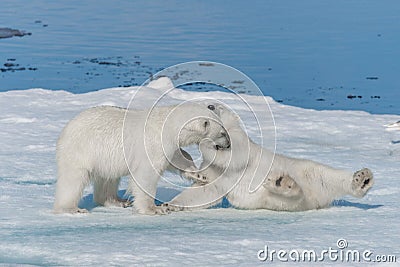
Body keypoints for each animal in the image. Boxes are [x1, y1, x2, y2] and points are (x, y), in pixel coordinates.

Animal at [52, 103, 231, 216]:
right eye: (222, 132)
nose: (229, 144)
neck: (167, 126)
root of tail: (66, 129)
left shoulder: (168, 145)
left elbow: (178, 158)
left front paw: (200, 175)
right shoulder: (152, 144)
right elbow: (146, 175)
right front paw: (155, 209)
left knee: (108, 178)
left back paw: (117, 201)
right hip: (81, 150)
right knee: (73, 180)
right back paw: (71, 209)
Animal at [167, 104, 374, 211]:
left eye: (216, 106)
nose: (210, 105)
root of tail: (317, 199)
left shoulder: (241, 142)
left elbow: (235, 154)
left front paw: (208, 144)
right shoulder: (215, 173)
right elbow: (205, 190)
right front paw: (169, 206)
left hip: (308, 171)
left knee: (330, 175)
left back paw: (362, 179)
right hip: (278, 201)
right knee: (292, 199)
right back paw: (282, 182)